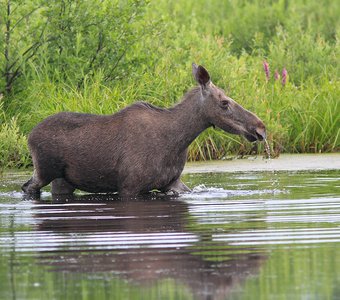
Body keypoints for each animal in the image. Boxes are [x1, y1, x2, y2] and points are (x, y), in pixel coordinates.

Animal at [21, 63, 266, 197]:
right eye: (225, 102)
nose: (260, 128)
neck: (178, 141)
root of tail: (29, 135)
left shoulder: (172, 182)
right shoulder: (129, 186)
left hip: (62, 180)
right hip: (44, 170)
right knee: (27, 188)